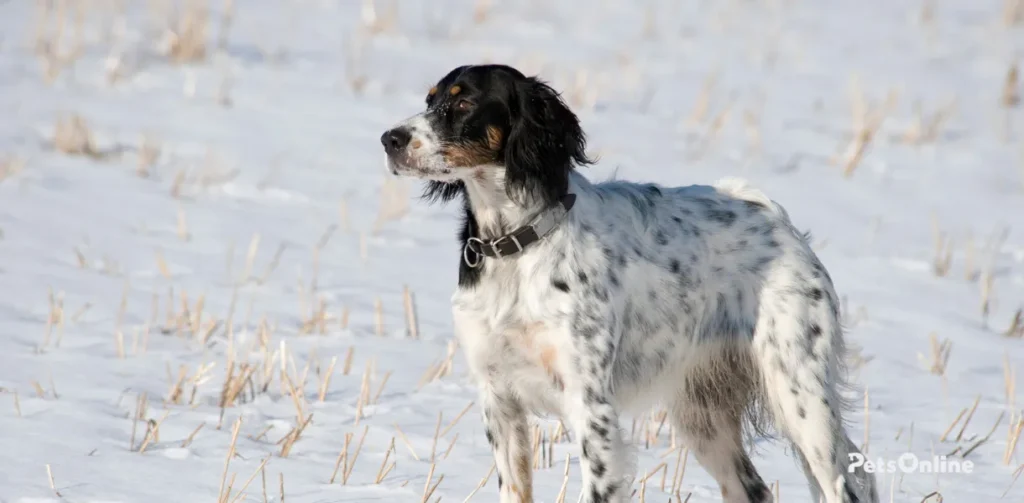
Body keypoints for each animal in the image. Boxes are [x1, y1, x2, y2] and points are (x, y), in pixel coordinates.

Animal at [380, 64, 876, 503]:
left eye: (463, 102)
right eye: (429, 100)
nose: (390, 139)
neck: (516, 245)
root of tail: (774, 215)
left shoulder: (591, 406)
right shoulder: (499, 401)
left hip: (801, 397)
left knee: (849, 484)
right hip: (703, 413)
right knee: (751, 488)